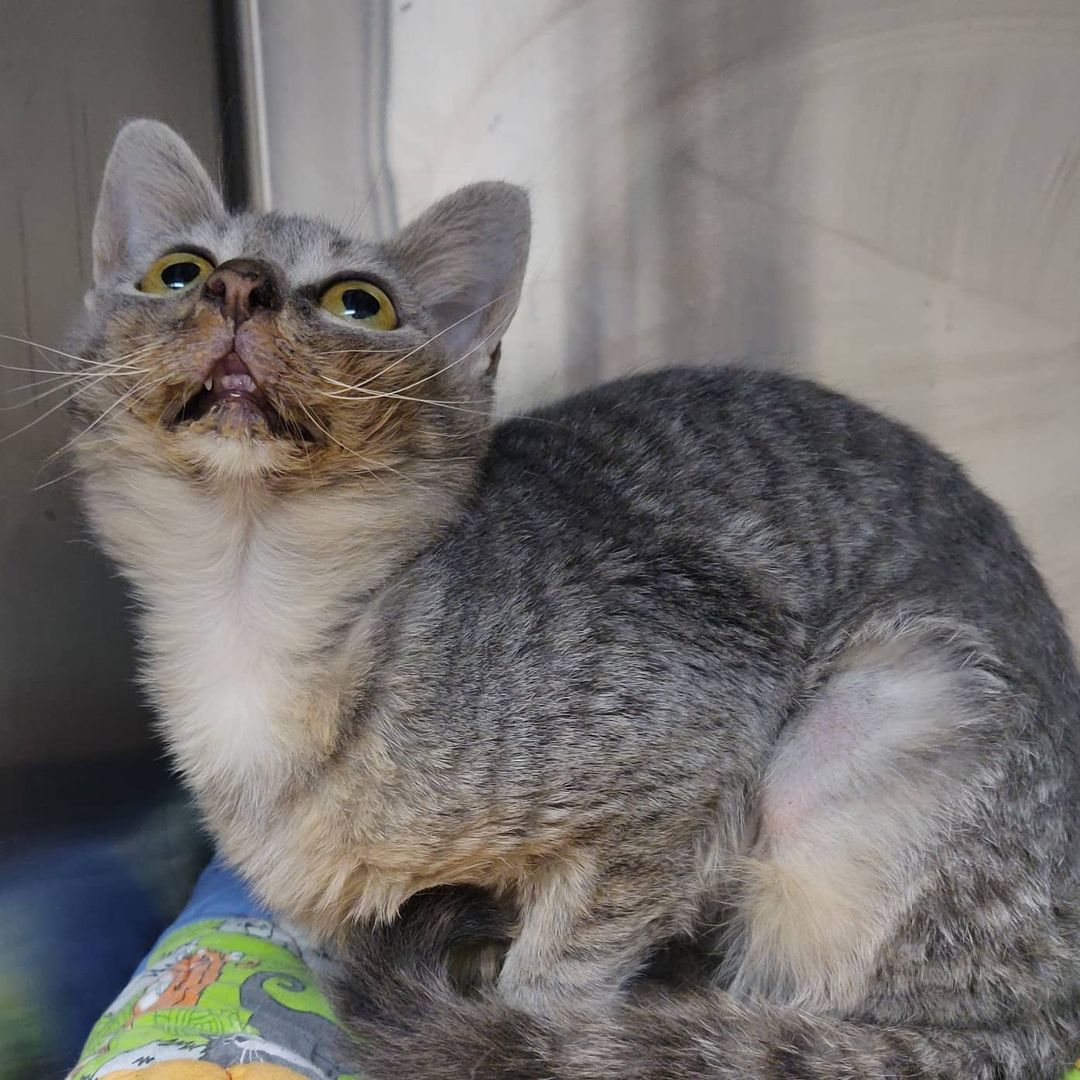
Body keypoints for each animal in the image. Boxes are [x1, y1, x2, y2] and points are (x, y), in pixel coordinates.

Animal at [69, 120, 1080, 1080]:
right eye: (177, 271)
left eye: (360, 302)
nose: (238, 285)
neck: (251, 610)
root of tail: (1051, 1010)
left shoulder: (697, 732)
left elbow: (561, 973)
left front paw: (516, 1021)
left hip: (878, 717)